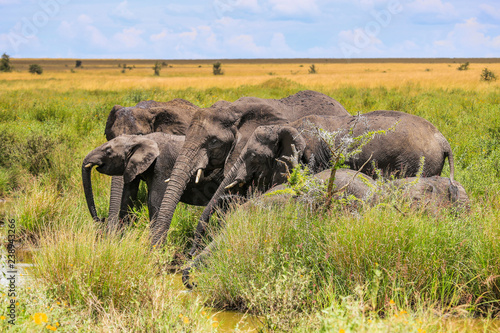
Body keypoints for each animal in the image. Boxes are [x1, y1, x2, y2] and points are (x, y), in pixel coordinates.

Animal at [82, 132, 223, 226]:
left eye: (108, 151)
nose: (100, 219)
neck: (143, 138)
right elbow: (127, 198)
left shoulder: (162, 165)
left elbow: (154, 201)